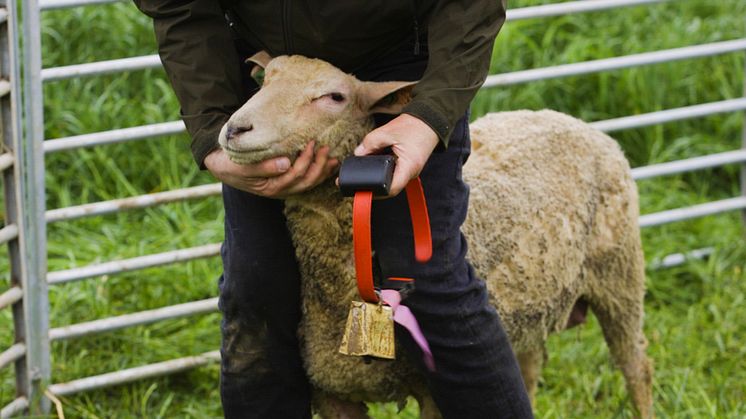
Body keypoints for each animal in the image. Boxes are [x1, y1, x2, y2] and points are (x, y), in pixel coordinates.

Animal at [217, 55, 652, 419]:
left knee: (637, 367)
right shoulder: (332, 393)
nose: (236, 129)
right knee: (530, 370)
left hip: (621, 275)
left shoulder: (435, 392)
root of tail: (569, 120)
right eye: (264, 80)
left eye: (334, 97)